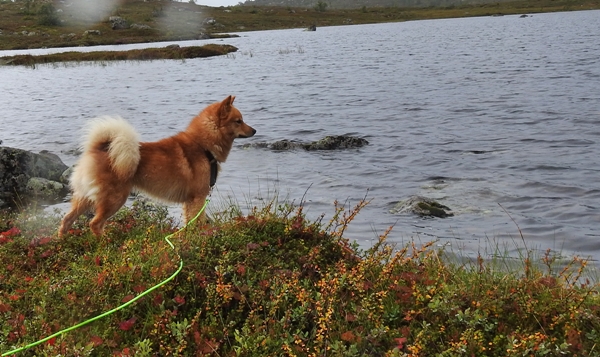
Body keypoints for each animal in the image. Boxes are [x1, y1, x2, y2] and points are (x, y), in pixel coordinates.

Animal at [56, 96, 253, 238]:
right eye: (238, 121)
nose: (254, 131)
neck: (203, 146)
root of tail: (99, 149)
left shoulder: (189, 201)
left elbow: (189, 223)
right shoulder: (198, 198)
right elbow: (197, 222)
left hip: (84, 198)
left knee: (66, 220)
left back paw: (62, 241)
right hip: (114, 199)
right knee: (95, 224)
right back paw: (105, 243)